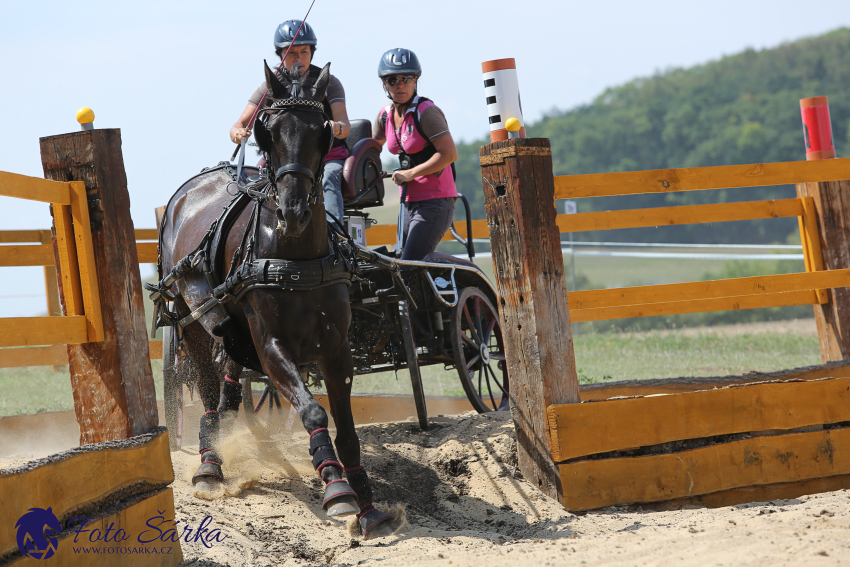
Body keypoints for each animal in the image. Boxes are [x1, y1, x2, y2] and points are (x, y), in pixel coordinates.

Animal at [158, 62, 390, 540]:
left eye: (323, 129)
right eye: (268, 132)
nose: (294, 210)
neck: (294, 254)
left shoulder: (337, 348)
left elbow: (347, 430)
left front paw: (367, 502)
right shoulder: (270, 347)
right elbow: (313, 412)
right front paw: (336, 488)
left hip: (229, 325)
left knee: (229, 371)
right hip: (193, 317)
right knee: (208, 387)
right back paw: (209, 463)